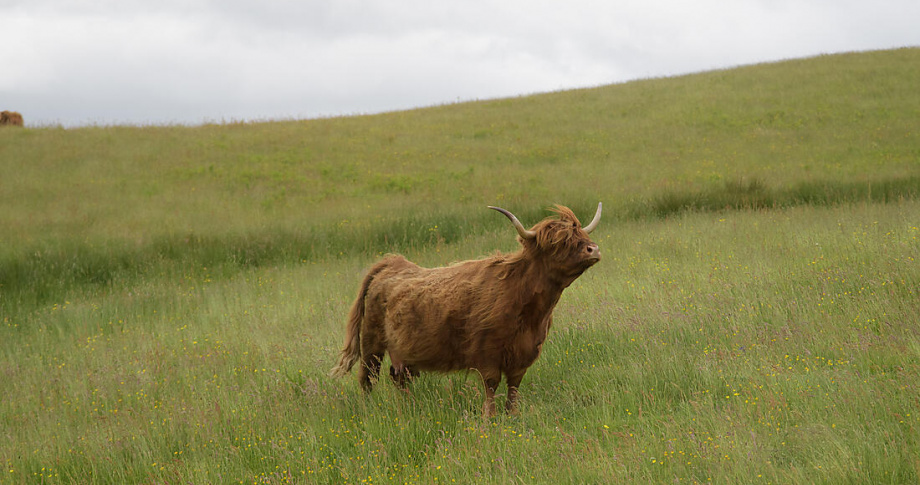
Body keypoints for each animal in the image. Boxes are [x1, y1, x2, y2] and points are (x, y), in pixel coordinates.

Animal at [330, 202, 604, 414]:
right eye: (558, 243)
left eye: (581, 236)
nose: (594, 249)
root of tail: (392, 262)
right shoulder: (487, 353)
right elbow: (491, 386)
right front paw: (488, 419)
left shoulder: (524, 354)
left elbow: (514, 387)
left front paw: (512, 416)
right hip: (371, 343)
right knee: (368, 378)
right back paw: (369, 410)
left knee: (398, 378)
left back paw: (408, 409)